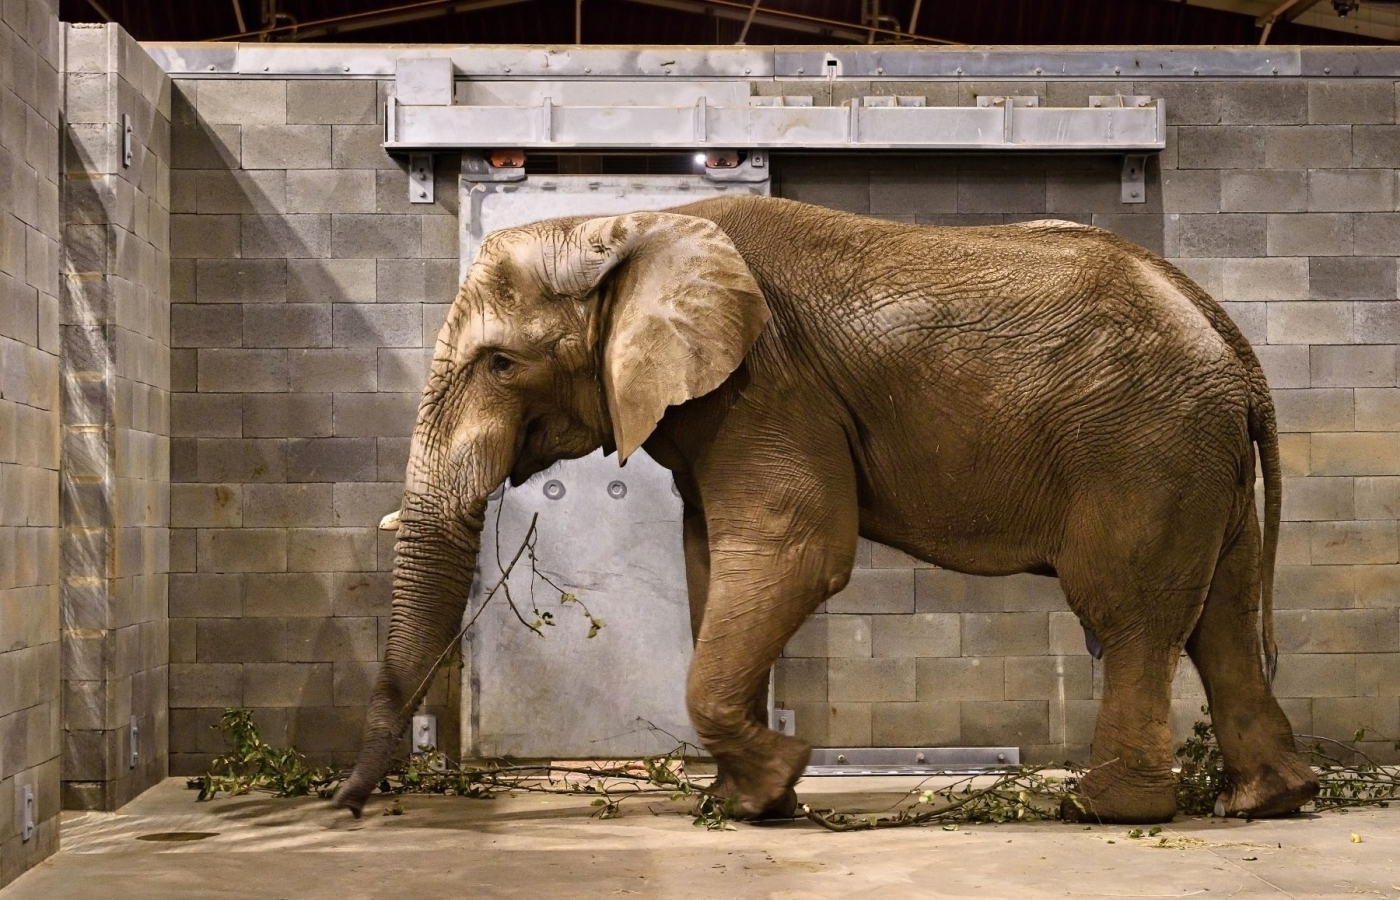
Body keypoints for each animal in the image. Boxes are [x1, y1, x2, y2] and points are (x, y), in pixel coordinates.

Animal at [333, 195, 1316, 823]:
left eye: (501, 365)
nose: (346, 805)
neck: (629, 222)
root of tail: (1229, 334)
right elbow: (712, 563)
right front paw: (747, 801)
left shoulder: (770, 384)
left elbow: (792, 550)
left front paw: (774, 785)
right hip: (1199, 458)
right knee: (1222, 619)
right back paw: (1267, 802)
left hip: (1143, 448)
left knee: (1133, 616)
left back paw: (1100, 810)